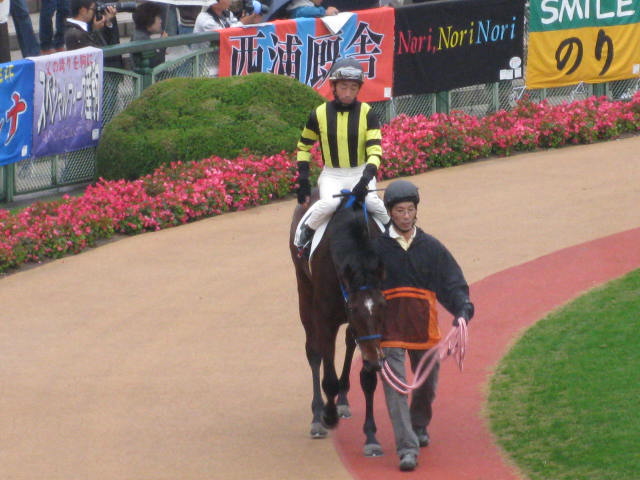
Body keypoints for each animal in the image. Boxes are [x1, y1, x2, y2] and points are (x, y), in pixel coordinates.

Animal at [290, 189, 384, 456]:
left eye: (382, 305)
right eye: (353, 308)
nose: (377, 362)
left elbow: (368, 378)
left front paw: (371, 436)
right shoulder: (325, 317)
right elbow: (327, 375)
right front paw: (327, 416)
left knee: (350, 342)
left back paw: (342, 399)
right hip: (304, 290)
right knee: (313, 352)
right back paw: (317, 415)